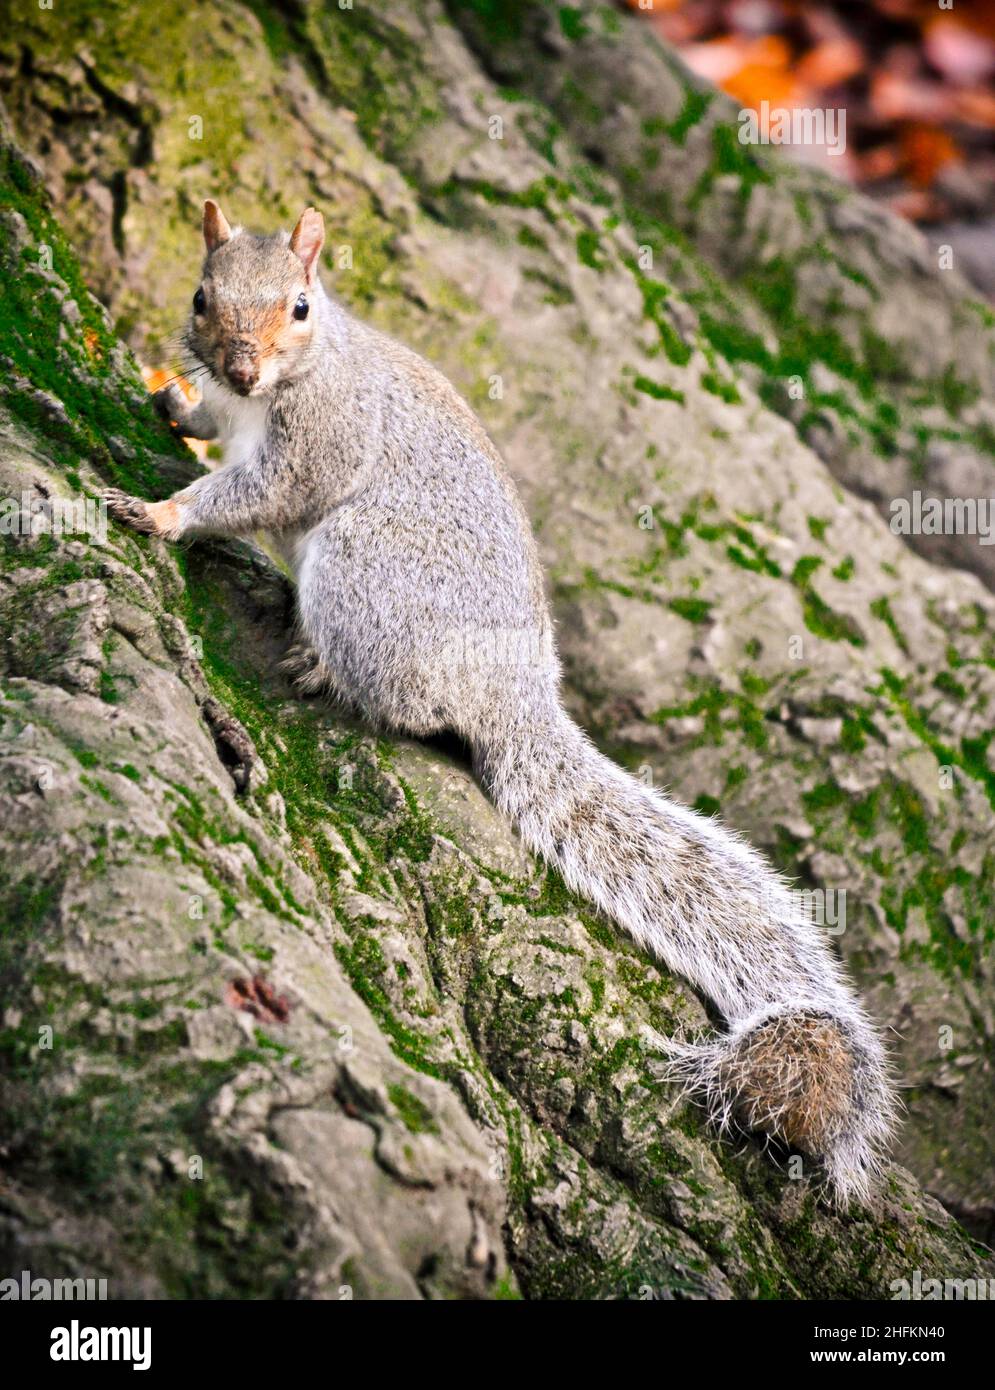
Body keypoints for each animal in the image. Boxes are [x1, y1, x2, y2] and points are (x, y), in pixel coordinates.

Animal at [102, 201, 900, 1200]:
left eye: (299, 305)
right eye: (202, 297)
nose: (241, 365)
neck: (288, 381)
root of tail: (516, 696)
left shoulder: (317, 444)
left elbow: (250, 493)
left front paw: (162, 513)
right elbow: (204, 418)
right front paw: (170, 397)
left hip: (368, 570)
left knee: (410, 702)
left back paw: (328, 671)